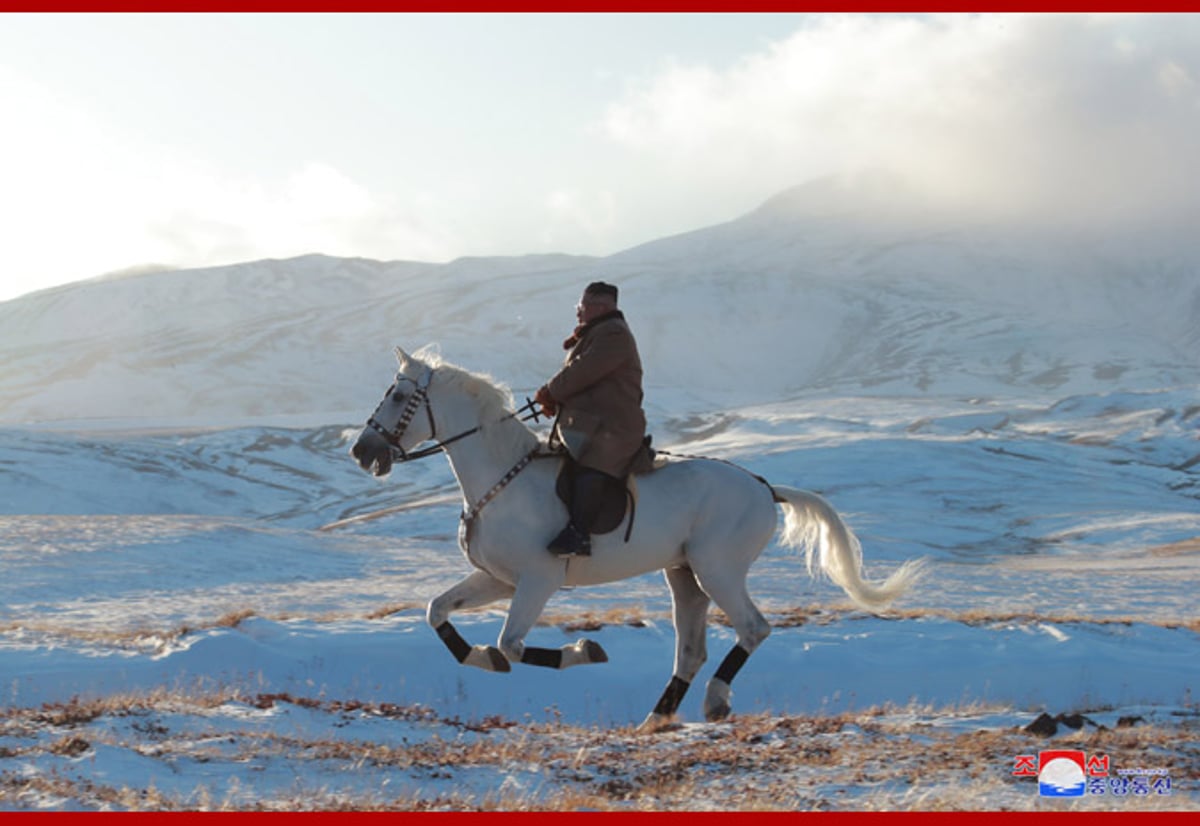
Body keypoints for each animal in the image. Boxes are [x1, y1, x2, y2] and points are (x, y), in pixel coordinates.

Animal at [350, 348, 921, 729]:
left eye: (398, 395)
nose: (362, 451)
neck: (502, 478)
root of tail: (764, 488)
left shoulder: (537, 580)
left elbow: (512, 643)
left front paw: (585, 649)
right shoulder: (498, 579)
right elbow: (438, 612)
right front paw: (481, 659)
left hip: (717, 569)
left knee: (753, 629)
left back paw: (714, 701)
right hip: (684, 574)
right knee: (690, 650)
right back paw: (656, 720)